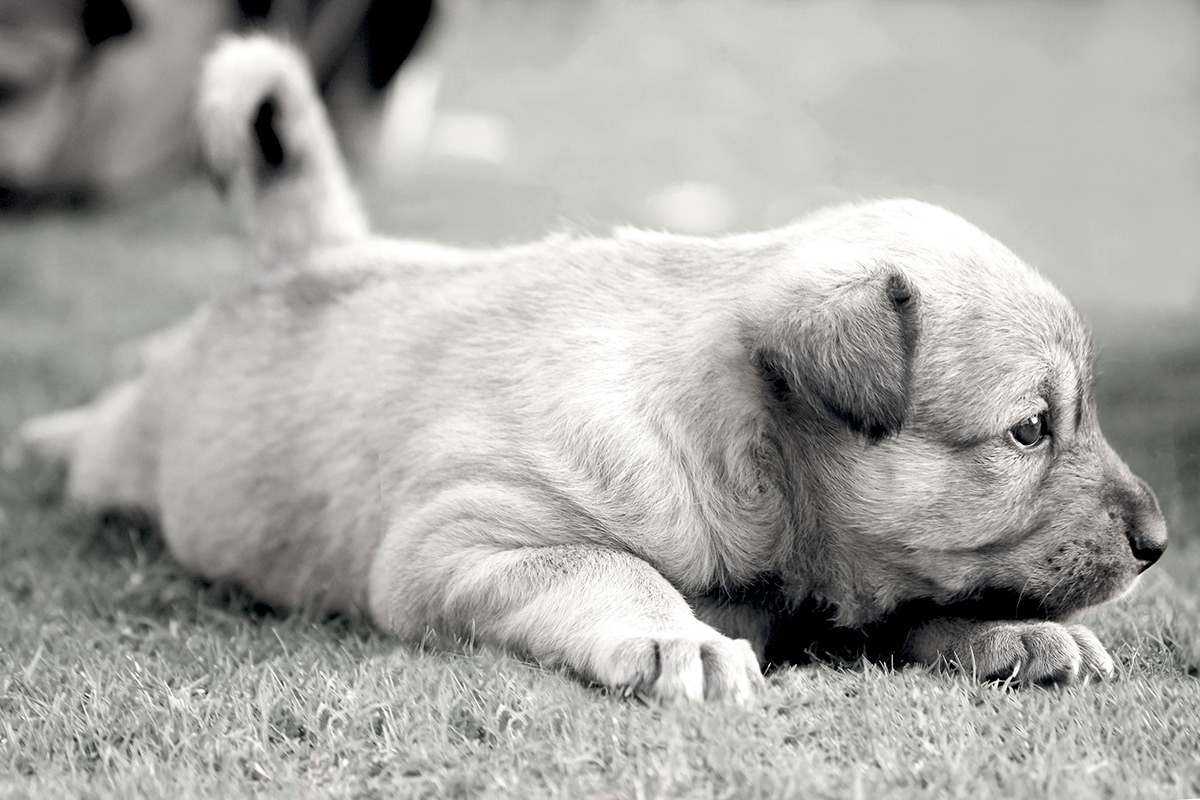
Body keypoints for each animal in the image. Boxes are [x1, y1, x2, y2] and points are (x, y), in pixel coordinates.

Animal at [16, 35, 1161, 700]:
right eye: (1029, 429)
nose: (1159, 541)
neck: (736, 453)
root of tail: (312, 254)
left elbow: (914, 602)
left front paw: (1013, 633)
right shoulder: (458, 537)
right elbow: (610, 567)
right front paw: (675, 637)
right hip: (137, 454)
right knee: (100, 431)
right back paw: (43, 438)